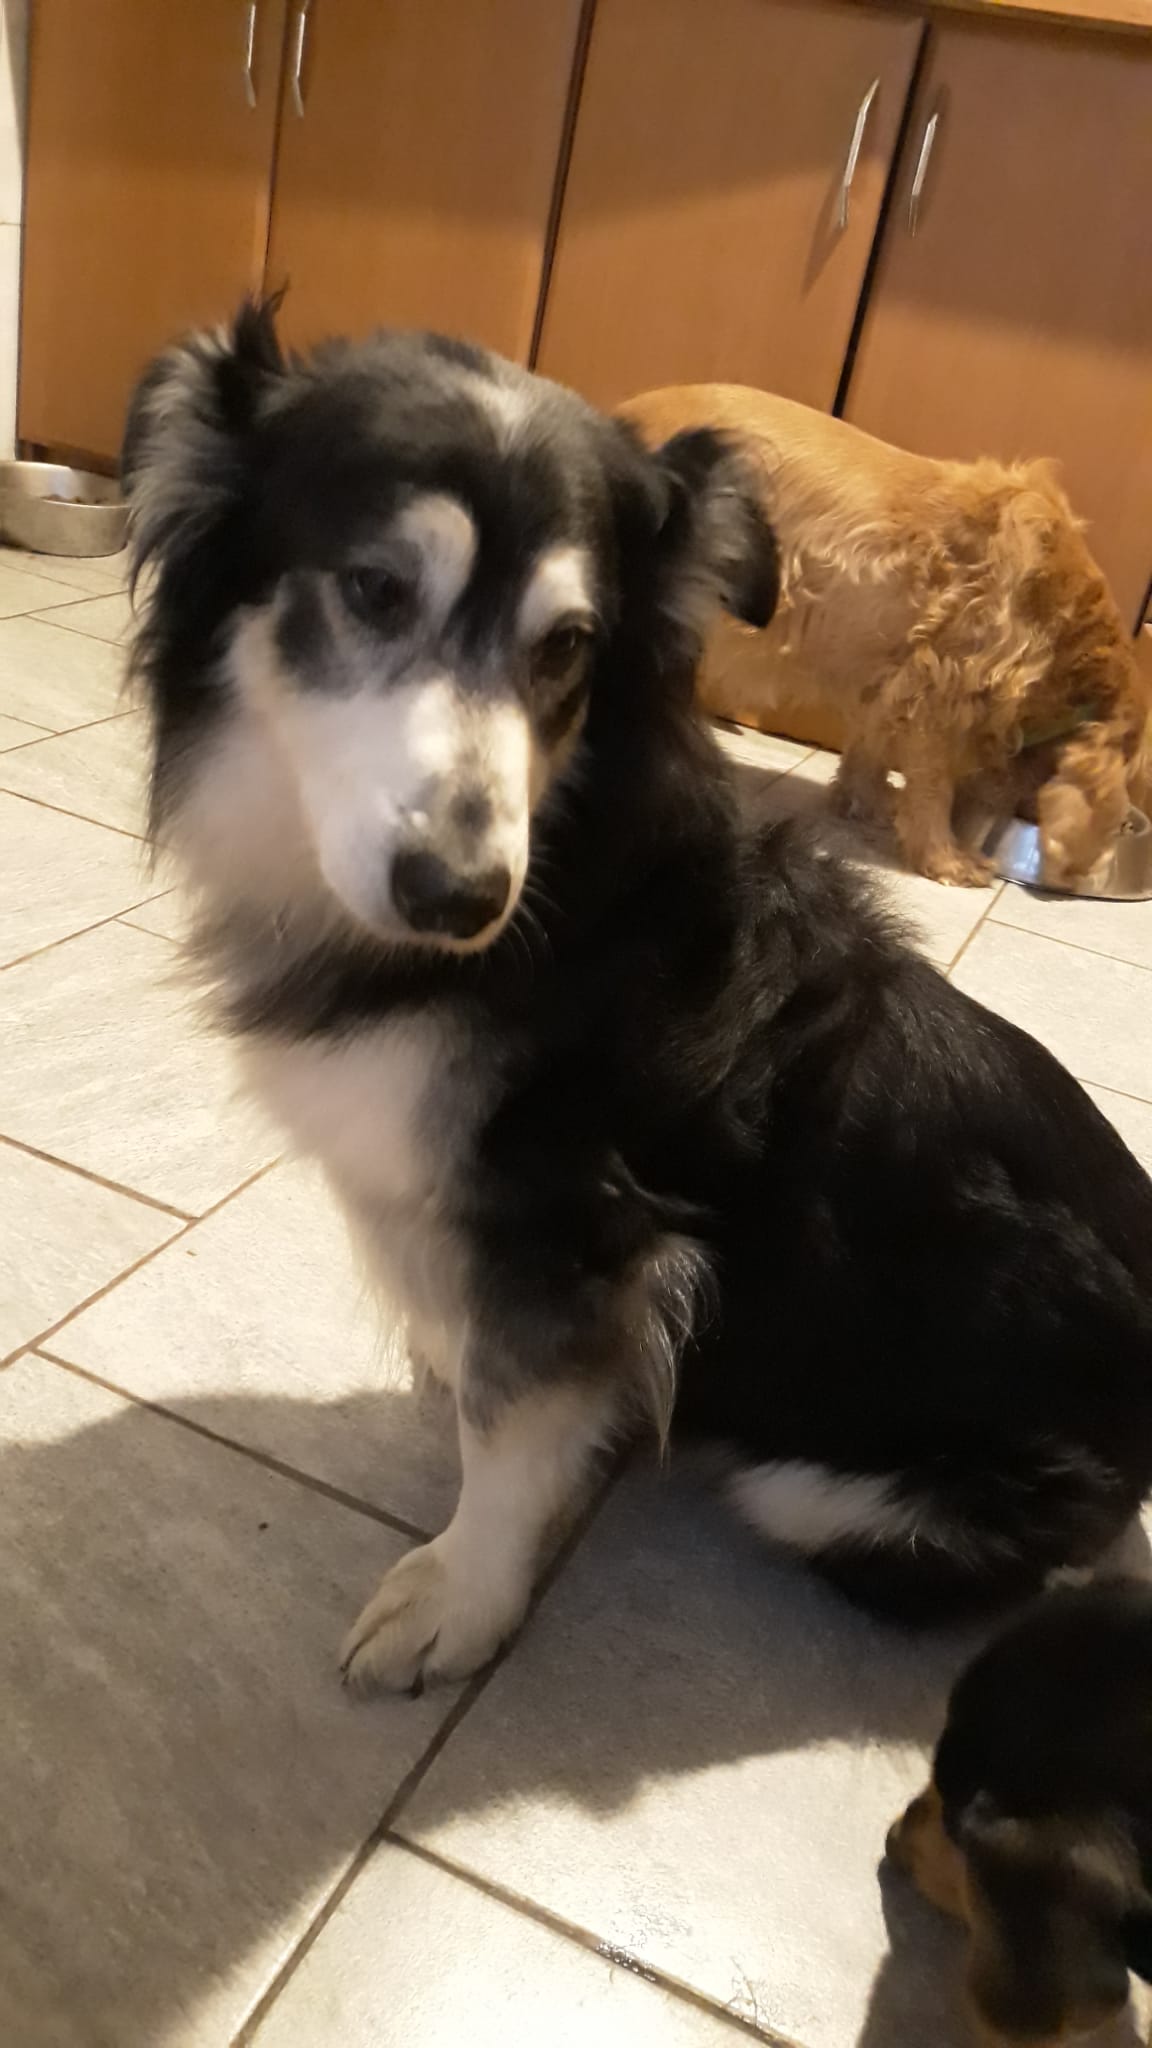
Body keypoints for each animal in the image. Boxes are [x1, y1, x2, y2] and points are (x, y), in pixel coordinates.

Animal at [620, 386, 1149, 891]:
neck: (1063, 626)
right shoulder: (943, 691)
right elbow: (932, 786)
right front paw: (946, 857)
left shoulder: (887, 679)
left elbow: (868, 751)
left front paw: (867, 803)